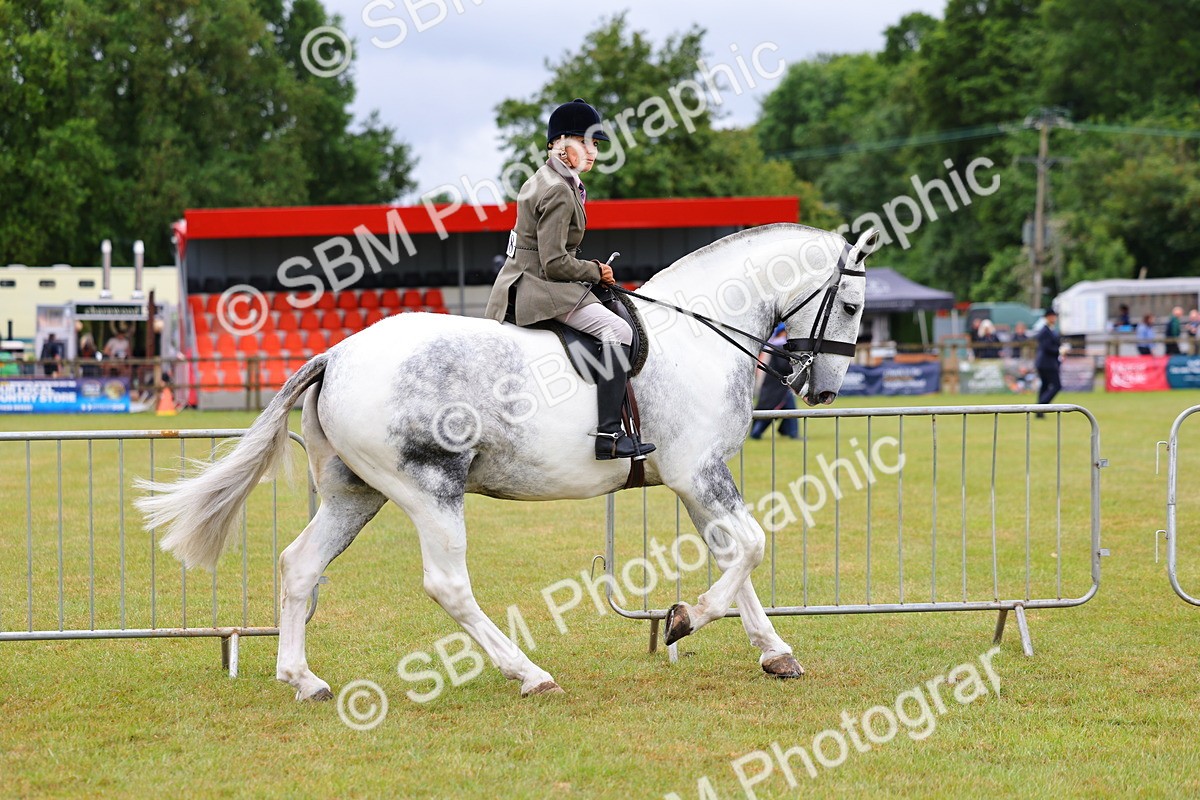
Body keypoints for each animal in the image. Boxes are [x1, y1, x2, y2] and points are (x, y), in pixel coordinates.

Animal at [137, 223, 875, 701]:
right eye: (852, 303)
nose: (823, 390)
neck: (697, 331)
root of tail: (337, 354)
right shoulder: (700, 473)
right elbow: (749, 548)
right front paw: (685, 620)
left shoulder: (695, 482)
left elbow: (736, 556)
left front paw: (775, 654)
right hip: (430, 488)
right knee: (447, 585)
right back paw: (528, 673)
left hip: (354, 494)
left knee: (299, 564)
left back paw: (303, 679)